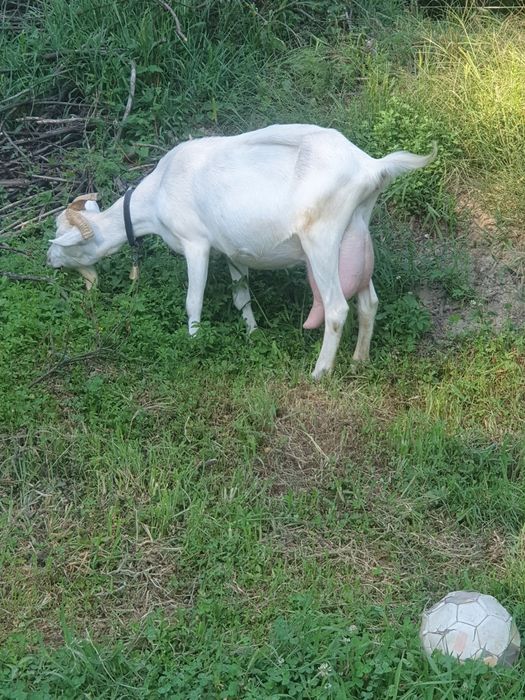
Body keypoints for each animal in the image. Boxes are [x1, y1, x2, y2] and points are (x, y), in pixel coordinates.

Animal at [47, 124, 435, 378]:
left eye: (63, 237)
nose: (49, 259)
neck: (156, 195)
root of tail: (371, 166)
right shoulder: (231, 250)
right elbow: (240, 296)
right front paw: (252, 333)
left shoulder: (196, 243)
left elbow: (193, 300)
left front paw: (194, 341)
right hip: (355, 234)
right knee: (369, 302)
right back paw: (359, 360)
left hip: (323, 239)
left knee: (338, 308)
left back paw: (320, 372)